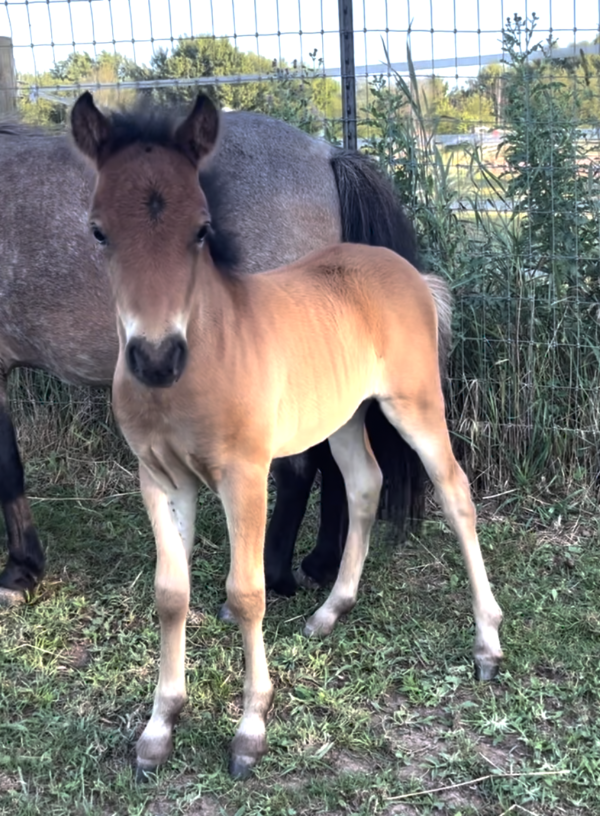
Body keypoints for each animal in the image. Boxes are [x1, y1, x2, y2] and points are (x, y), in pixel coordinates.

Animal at [0, 102, 426, 604]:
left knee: (299, 468)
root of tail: (324, 153)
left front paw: (19, 572)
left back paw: (274, 573)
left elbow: (8, 467)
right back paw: (321, 563)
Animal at [69, 89, 502, 776]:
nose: (156, 358)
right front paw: (160, 727)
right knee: (364, 484)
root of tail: (409, 271)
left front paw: (250, 730)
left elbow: (246, 593)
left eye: (202, 228)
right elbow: (170, 594)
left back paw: (487, 645)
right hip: (345, 415)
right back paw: (330, 610)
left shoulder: (243, 475)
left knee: (456, 493)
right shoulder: (161, 479)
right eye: (98, 230)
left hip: (414, 405)